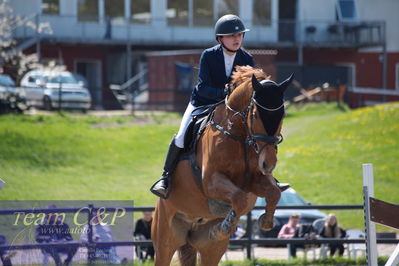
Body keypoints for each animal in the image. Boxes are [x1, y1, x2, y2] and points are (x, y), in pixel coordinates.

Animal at [152, 65, 292, 264]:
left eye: (283, 114)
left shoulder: (254, 180)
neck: (240, 136)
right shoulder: (211, 182)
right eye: (256, 115)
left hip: (211, 249)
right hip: (165, 239)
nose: (268, 164)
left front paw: (266, 221)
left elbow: (272, 193)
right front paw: (227, 225)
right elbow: (239, 198)